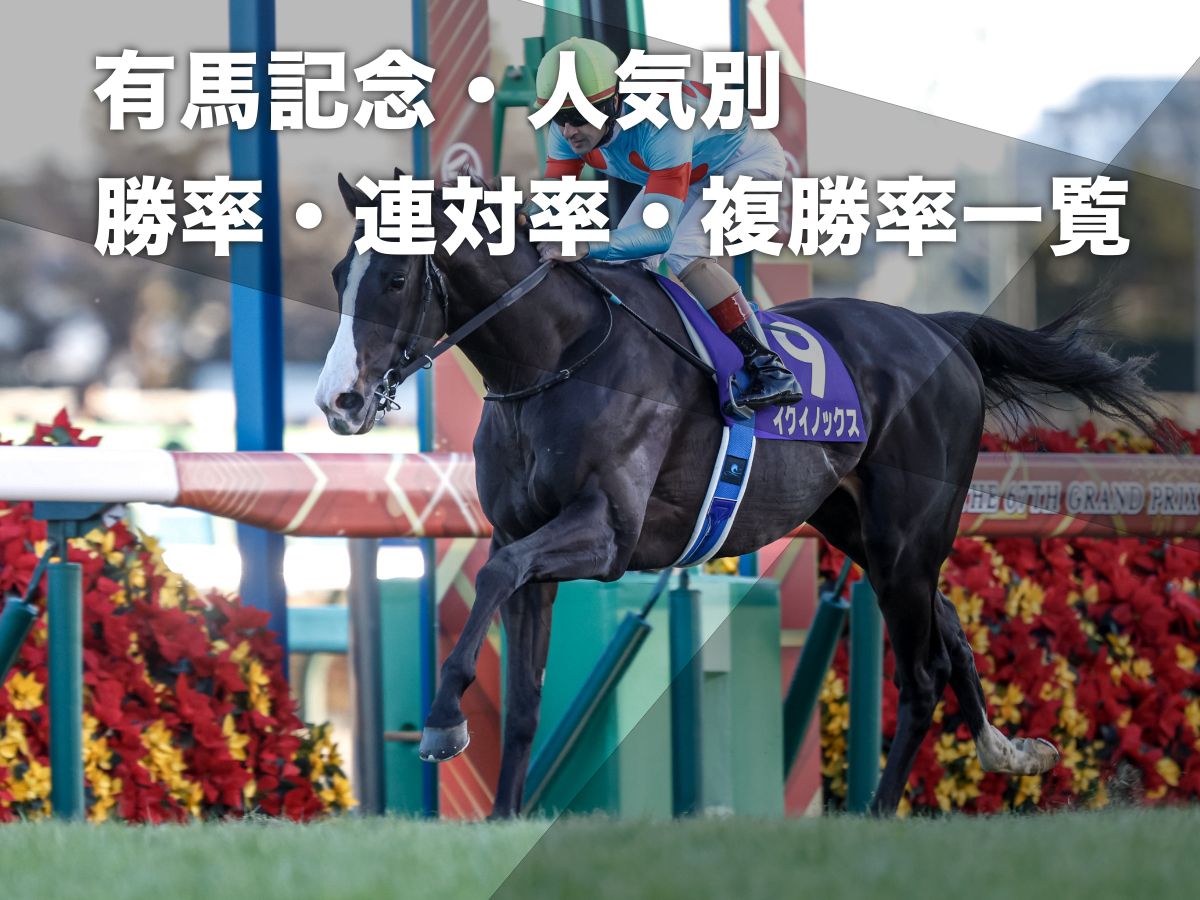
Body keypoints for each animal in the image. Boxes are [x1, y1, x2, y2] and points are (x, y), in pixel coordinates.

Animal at [315, 170, 1161, 818]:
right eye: (335, 275)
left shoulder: (608, 532)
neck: (553, 359)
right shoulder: (522, 537)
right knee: (949, 632)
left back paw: (879, 814)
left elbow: (493, 579)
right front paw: (501, 819)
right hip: (859, 529)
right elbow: (521, 693)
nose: (337, 402)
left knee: (921, 676)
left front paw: (441, 723)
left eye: (395, 277)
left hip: (907, 538)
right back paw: (1010, 752)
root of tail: (941, 332)